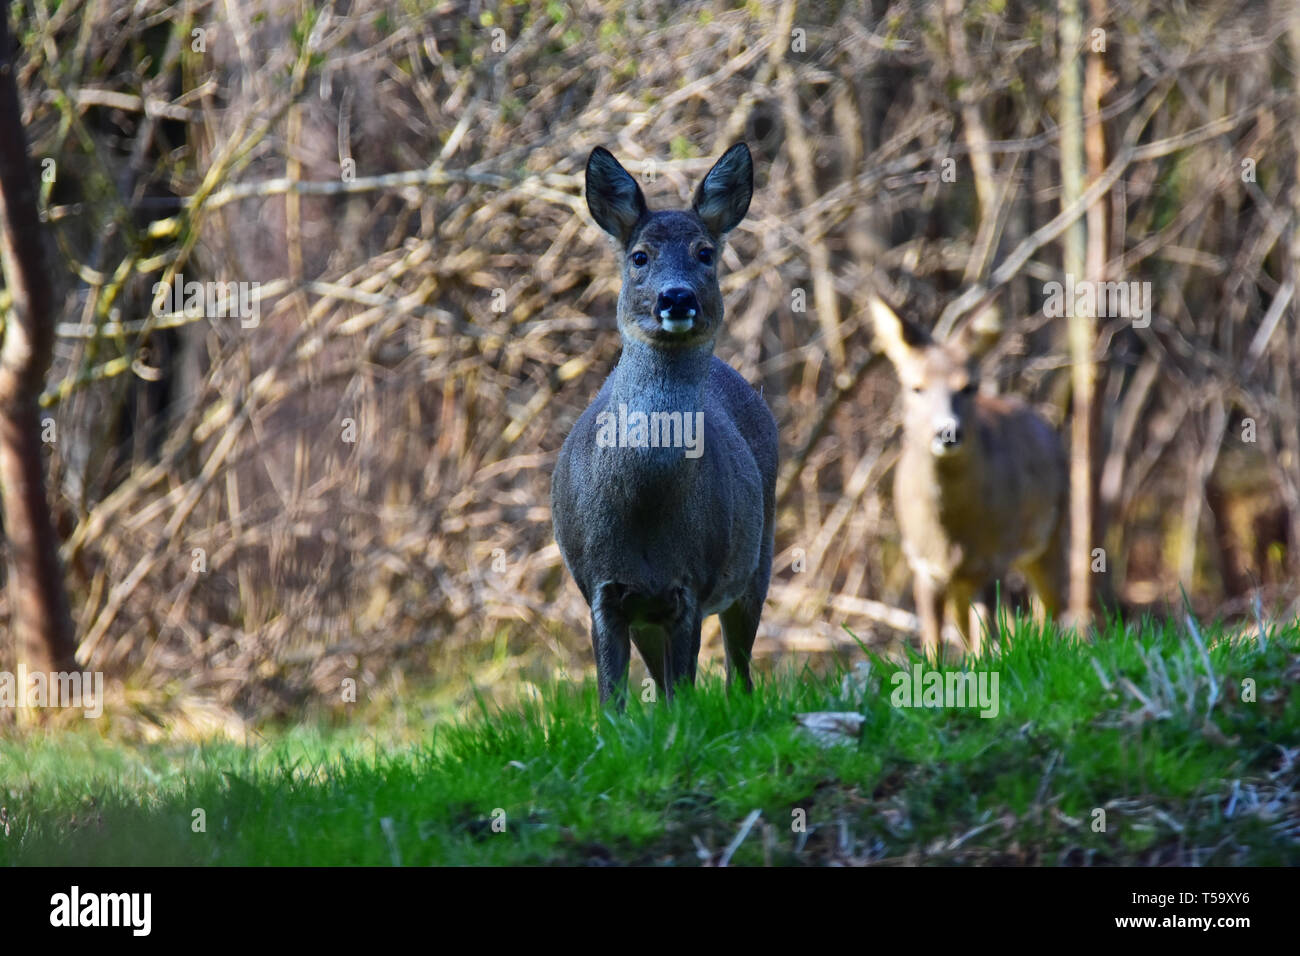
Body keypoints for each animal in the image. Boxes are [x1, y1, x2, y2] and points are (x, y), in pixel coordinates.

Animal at [551, 145, 774, 707]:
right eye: (639, 256)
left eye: (705, 253)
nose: (676, 298)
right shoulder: (601, 587)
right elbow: (612, 699)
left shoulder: (691, 584)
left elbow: (683, 690)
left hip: (758, 558)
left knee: (740, 670)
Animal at [873, 299, 1066, 658]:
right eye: (916, 387)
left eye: (968, 386)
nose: (947, 432)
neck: (951, 533)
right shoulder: (923, 565)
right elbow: (934, 641)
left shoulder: (990, 561)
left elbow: (983, 637)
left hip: (1050, 535)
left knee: (1048, 608)